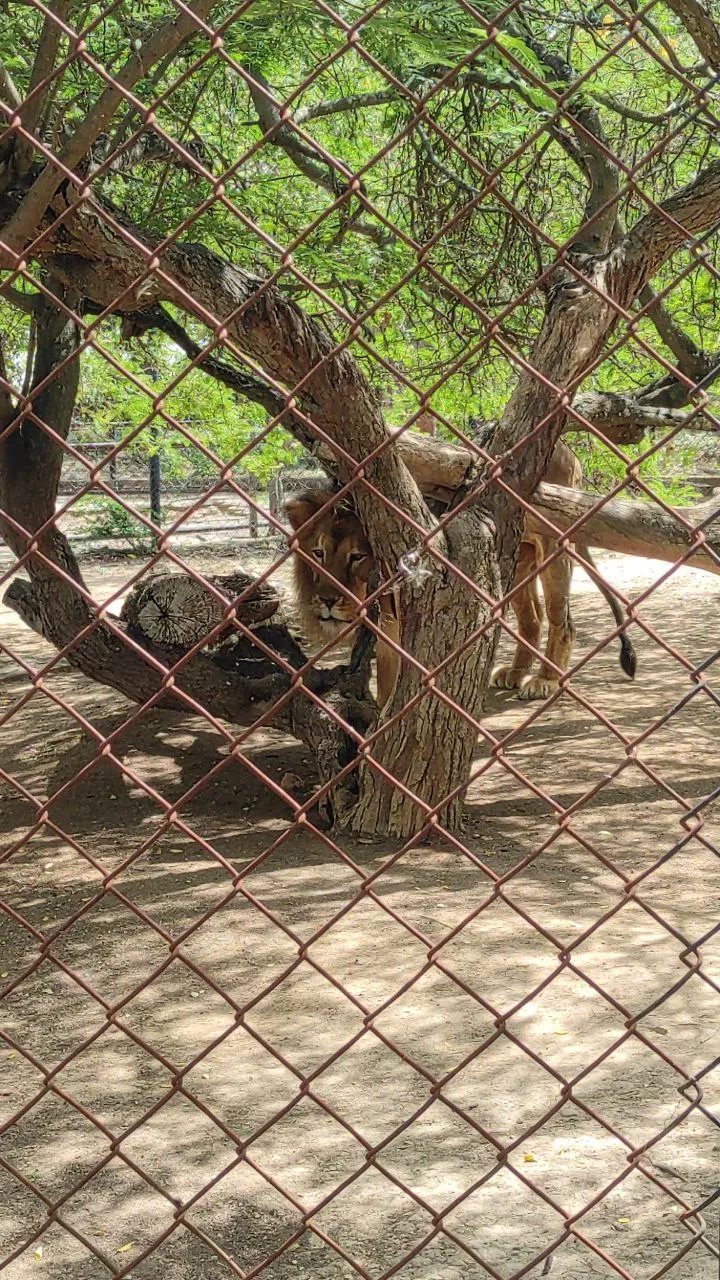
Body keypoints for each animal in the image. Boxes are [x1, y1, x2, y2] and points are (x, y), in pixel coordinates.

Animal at [285, 445, 632, 711]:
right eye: (318, 553)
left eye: (356, 556)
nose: (327, 600)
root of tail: (568, 451)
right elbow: (386, 672)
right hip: (517, 558)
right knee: (532, 619)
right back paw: (515, 673)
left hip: (554, 547)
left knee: (563, 620)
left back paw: (545, 680)